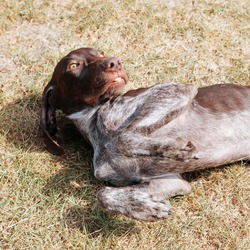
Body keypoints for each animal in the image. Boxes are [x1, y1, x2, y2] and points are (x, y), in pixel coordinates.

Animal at [41, 47, 250, 222]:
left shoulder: (175, 90)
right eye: (74, 65)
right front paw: (146, 208)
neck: (95, 122)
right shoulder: (171, 182)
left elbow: (122, 137)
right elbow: (102, 194)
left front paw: (174, 148)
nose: (114, 62)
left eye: (100, 53)